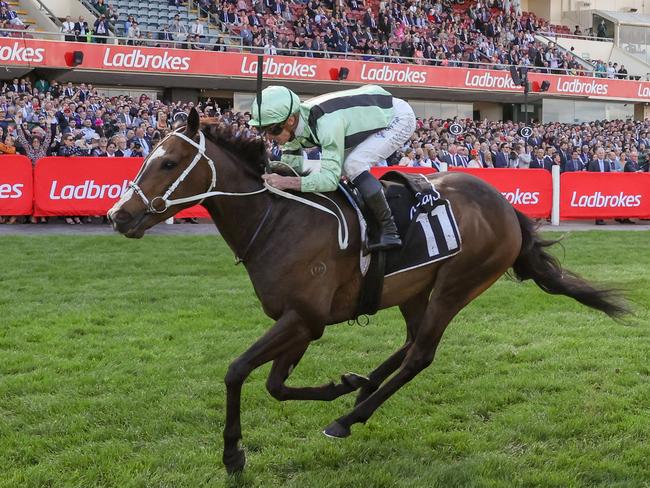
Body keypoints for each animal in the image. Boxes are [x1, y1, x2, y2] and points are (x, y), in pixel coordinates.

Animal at [107, 108, 628, 474]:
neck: (277, 220)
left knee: (420, 355)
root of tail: (505, 206)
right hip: (418, 289)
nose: (119, 215)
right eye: (146, 156)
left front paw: (233, 454)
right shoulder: (302, 323)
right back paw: (361, 390)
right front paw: (341, 384)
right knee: (410, 343)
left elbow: (237, 371)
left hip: (458, 285)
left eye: (169, 162)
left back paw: (349, 418)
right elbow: (275, 385)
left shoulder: (304, 318)